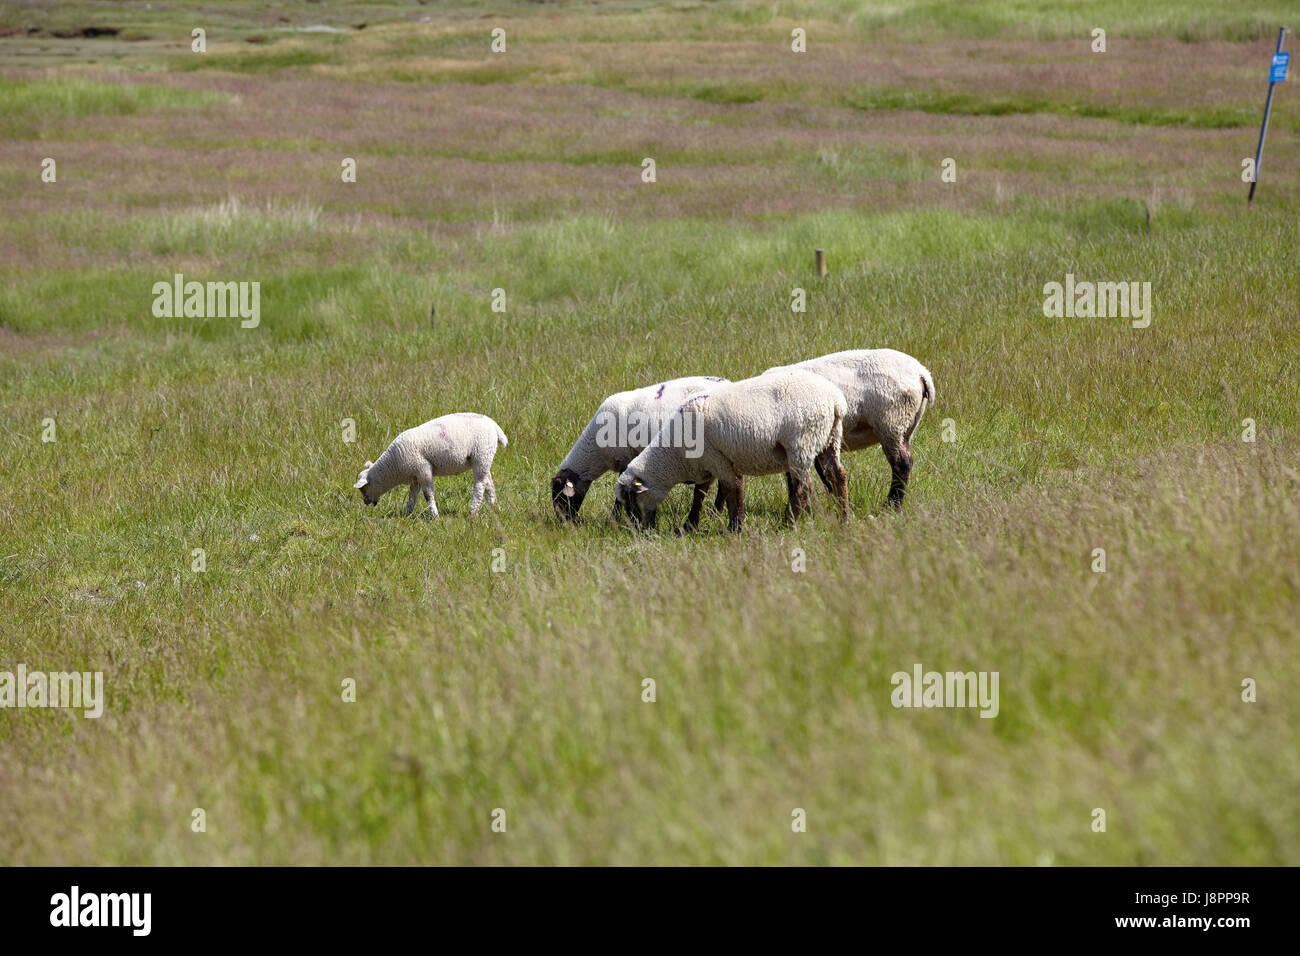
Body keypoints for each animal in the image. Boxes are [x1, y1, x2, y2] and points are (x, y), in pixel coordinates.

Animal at [354, 412, 507, 517]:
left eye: (363, 489)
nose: (366, 503)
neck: (393, 466)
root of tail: (494, 426)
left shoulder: (423, 469)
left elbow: (428, 494)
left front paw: (434, 516)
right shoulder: (415, 475)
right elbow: (412, 495)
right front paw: (408, 514)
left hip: (481, 454)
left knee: (480, 485)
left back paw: (473, 511)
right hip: (484, 458)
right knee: (488, 483)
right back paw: (495, 507)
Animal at [551, 375, 729, 524]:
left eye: (561, 498)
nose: (564, 522)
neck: (595, 452)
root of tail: (727, 383)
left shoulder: (626, 459)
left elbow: (619, 494)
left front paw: (614, 518)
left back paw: (715, 513)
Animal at [614, 369, 848, 533]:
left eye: (631, 501)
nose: (637, 530)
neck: (674, 455)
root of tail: (836, 400)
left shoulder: (717, 459)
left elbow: (732, 492)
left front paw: (734, 529)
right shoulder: (711, 465)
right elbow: (704, 495)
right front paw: (690, 526)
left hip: (802, 442)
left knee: (803, 488)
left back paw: (789, 524)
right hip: (830, 439)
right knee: (838, 476)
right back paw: (844, 517)